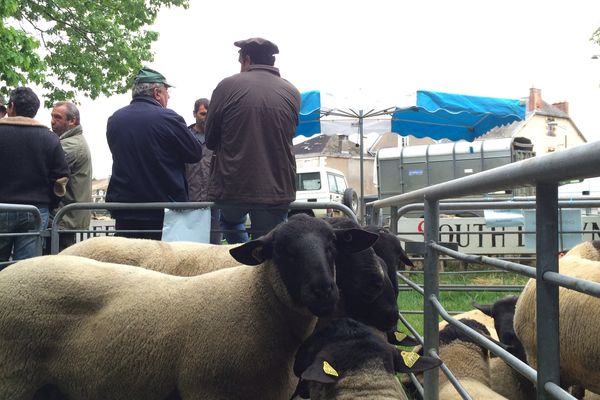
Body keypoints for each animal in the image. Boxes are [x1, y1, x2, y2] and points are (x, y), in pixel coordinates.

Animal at [0, 214, 376, 400]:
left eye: (333, 244)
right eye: (282, 251)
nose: (324, 290)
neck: (256, 303)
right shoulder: (208, 391)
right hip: (13, 379)